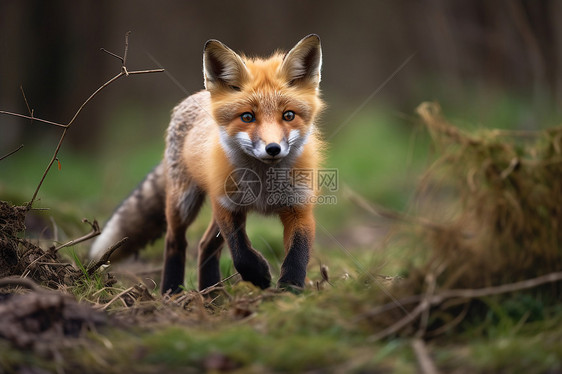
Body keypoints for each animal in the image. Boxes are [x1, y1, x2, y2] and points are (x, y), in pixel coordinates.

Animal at [89, 33, 322, 294]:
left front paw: (291, 289)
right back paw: (172, 291)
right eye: (247, 117)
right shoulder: (226, 205)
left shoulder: (299, 207)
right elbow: (241, 254)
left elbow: (297, 253)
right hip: (183, 203)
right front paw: (260, 275)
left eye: (288, 115)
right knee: (176, 241)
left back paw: (211, 294)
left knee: (205, 245)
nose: (273, 148)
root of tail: (199, 95)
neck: (264, 183)